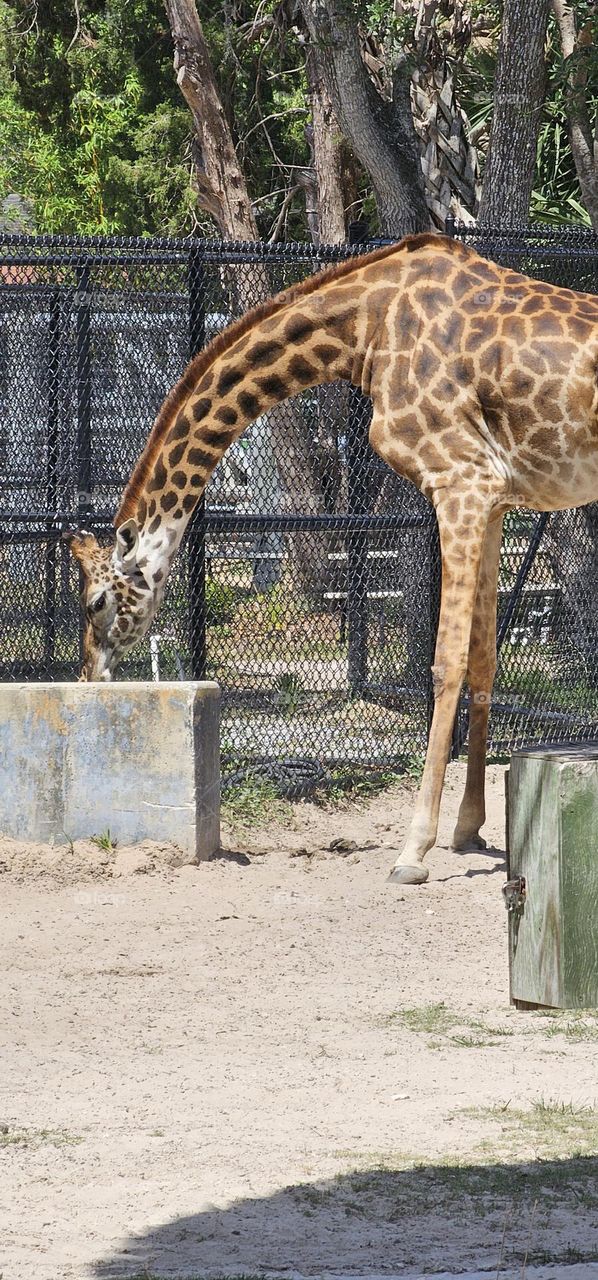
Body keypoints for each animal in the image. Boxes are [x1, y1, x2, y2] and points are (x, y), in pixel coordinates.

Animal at [66, 232, 598, 885]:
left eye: (95, 601)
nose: (90, 675)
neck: (363, 329)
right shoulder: (494, 497)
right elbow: (482, 659)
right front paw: (468, 829)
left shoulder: (460, 480)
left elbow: (444, 664)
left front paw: (413, 851)